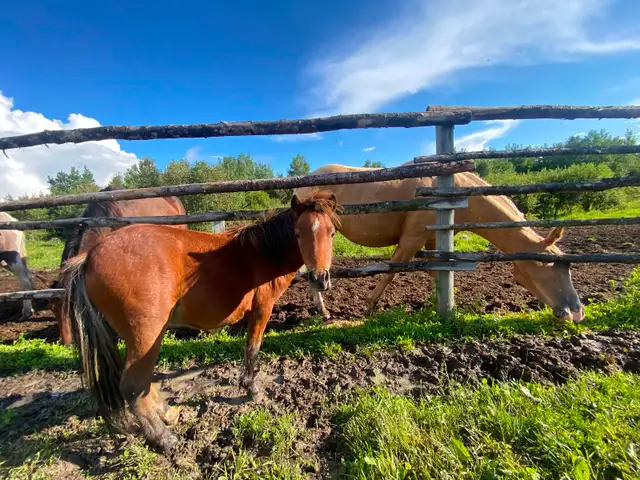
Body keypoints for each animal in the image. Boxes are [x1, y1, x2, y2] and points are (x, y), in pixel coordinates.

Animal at [60, 190, 340, 452]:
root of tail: (89, 257)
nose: (319, 279)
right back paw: (163, 438)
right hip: (145, 334)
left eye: (332, 233)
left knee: (141, 382)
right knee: (132, 385)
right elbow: (252, 348)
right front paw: (252, 389)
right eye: (298, 234)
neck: (262, 252)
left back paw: (167, 413)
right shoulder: (262, 308)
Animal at [294, 163, 585, 323]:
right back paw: (323, 310)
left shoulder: (433, 239)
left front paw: (444, 305)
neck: (449, 190)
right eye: (550, 266)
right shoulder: (411, 239)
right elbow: (392, 270)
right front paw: (369, 307)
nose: (577, 312)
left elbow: (438, 272)